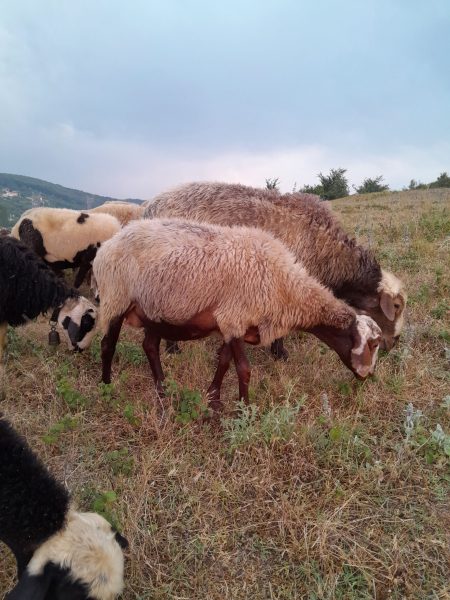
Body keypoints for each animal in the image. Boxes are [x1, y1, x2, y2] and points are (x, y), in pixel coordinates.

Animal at [93, 219, 382, 412]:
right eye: (372, 344)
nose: (367, 376)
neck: (285, 287)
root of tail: (106, 246)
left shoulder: (232, 323)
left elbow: (223, 363)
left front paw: (214, 399)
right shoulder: (234, 318)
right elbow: (244, 369)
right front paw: (244, 409)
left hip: (153, 310)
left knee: (150, 346)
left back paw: (163, 391)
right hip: (117, 298)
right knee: (108, 344)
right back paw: (106, 386)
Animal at [143, 182, 406, 357]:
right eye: (395, 306)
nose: (393, 343)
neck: (328, 253)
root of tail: (151, 206)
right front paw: (279, 354)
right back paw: (172, 348)